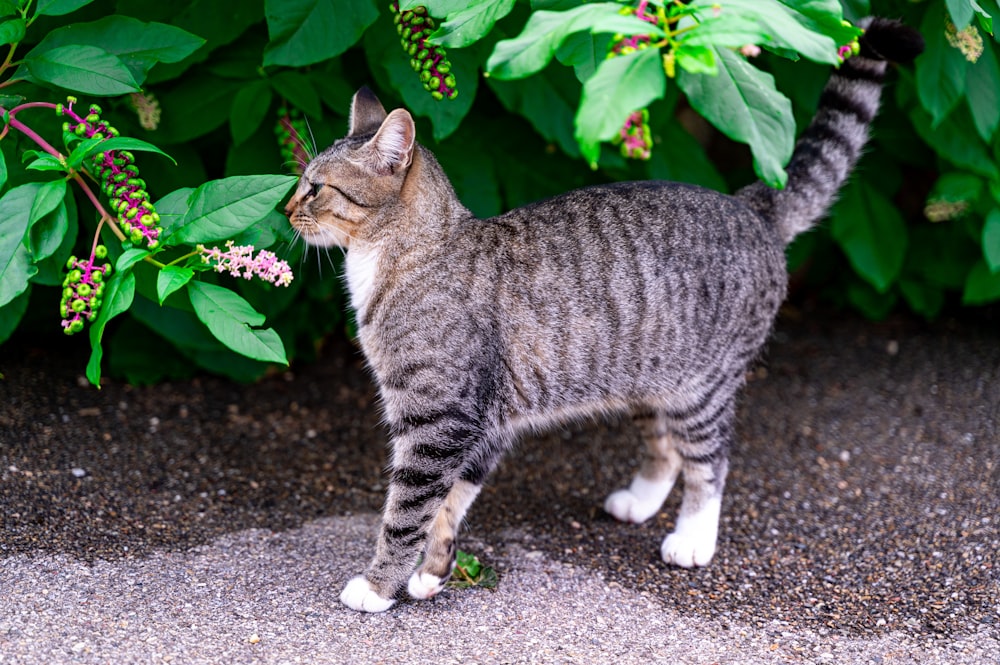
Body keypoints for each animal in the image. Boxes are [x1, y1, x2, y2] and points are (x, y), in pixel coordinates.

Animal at [282, 16, 920, 612]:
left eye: (316, 187)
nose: (286, 208)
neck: (405, 255)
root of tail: (752, 204)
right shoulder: (480, 421)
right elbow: (450, 503)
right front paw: (432, 573)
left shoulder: (441, 418)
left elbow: (408, 510)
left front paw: (378, 586)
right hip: (648, 378)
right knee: (665, 447)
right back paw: (639, 500)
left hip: (702, 387)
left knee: (709, 462)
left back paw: (693, 537)